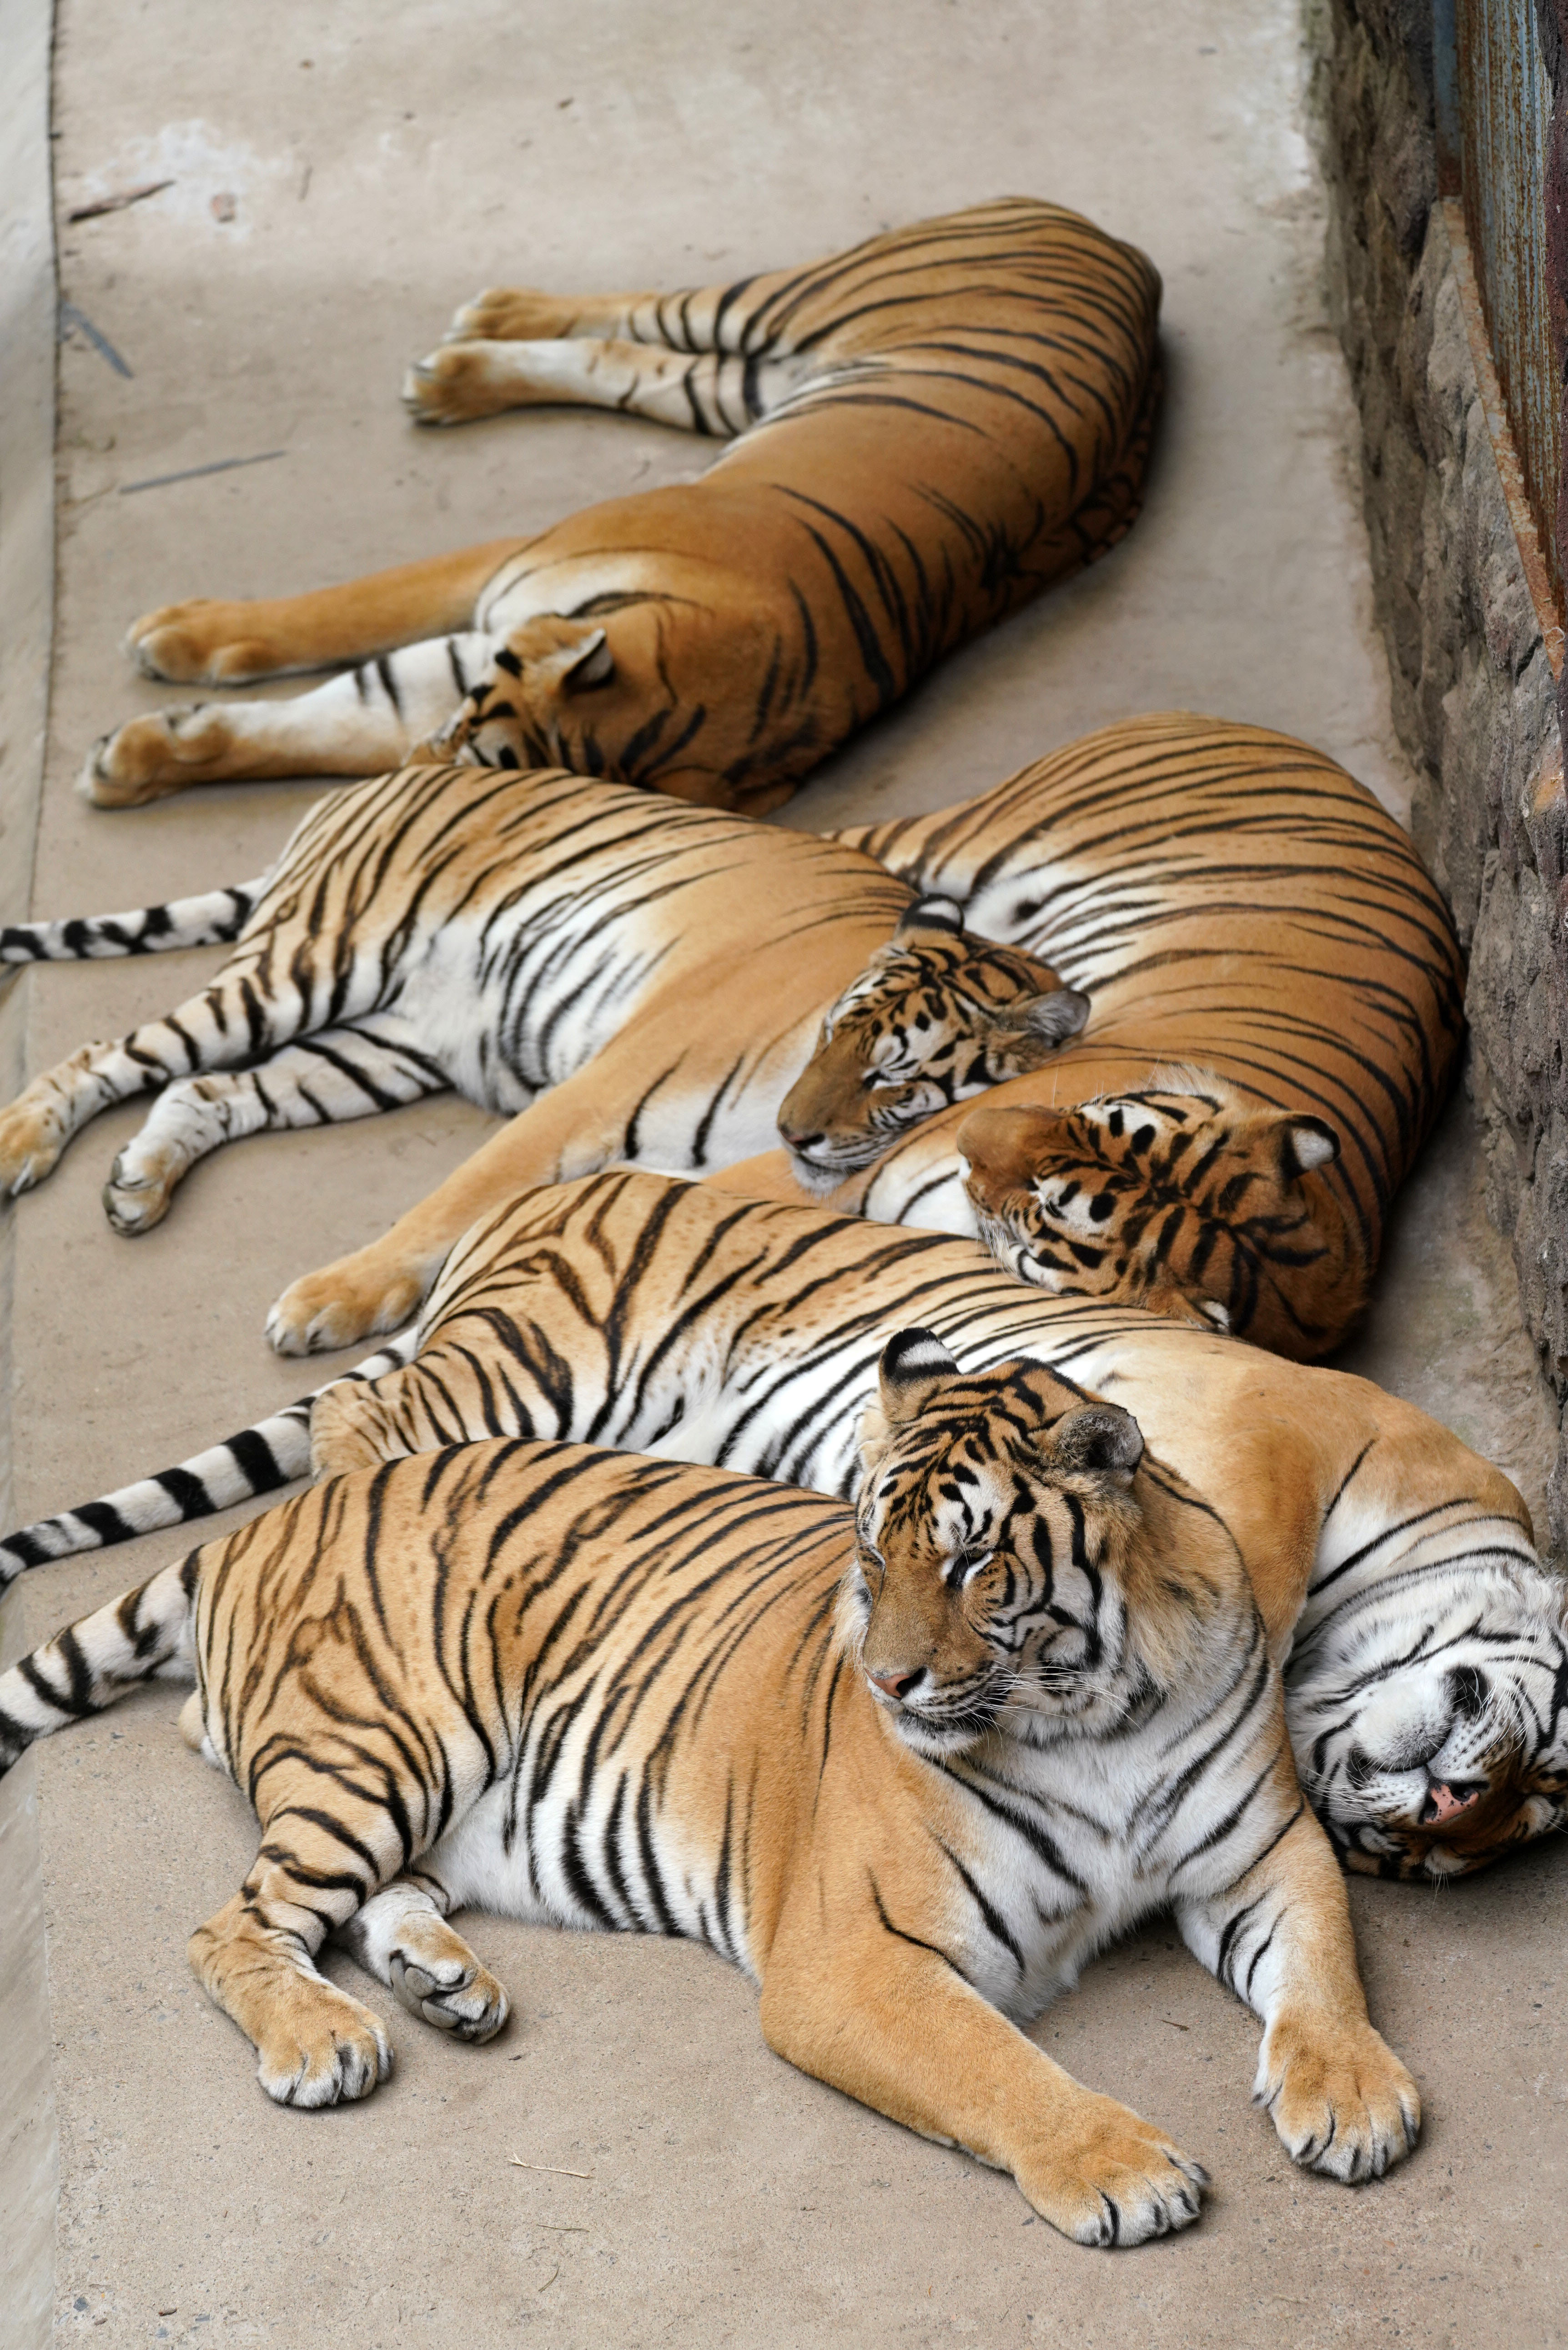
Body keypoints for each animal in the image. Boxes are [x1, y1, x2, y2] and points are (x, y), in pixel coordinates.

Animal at [0, 1353, 1420, 2228]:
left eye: (973, 1567)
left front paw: (1352, 2096)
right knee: (233, 1924)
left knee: (366, 1901)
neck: (1092, 1711)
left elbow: (1322, 1965)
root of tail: (259, 1525)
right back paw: (325, 2039)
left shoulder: (1263, 1849)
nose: (890, 1680)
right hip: (383, 1743)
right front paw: (1120, 2169)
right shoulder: (855, 1957)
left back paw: (443, 1984)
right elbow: (1001, 2068)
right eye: (871, 1557)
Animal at [9, 1165, 1561, 1880]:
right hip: (538, 1353)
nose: (1444, 1811)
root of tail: (533, 1203)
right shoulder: (1257, 1442)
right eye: (1524, 1757)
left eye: (1512, 1821)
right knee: (350, 1425)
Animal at [76, 202, 1152, 827]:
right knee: (641, 309)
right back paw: (490, 321)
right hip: (779, 306)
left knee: (627, 359)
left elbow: (316, 725)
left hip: (741, 384)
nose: (417, 777)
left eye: (493, 772)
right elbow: (349, 611)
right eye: (477, 738)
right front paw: (176, 644)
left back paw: (464, 364)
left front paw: (133, 755)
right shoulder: (507, 571)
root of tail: (1131, 259)